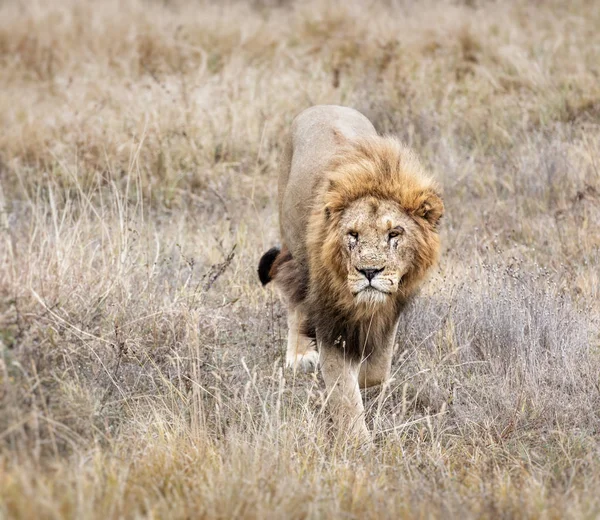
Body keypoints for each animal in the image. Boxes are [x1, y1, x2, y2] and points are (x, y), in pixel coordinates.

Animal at [255, 105, 442, 442]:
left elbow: (376, 370)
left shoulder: (391, 308)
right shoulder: (330, 320)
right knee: (294, 296)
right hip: (294, 245)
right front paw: (356, 443)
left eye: (394, 234)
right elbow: (344, 391)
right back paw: (299, 355)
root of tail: (323, 106)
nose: (369, 271)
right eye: (352, 235)